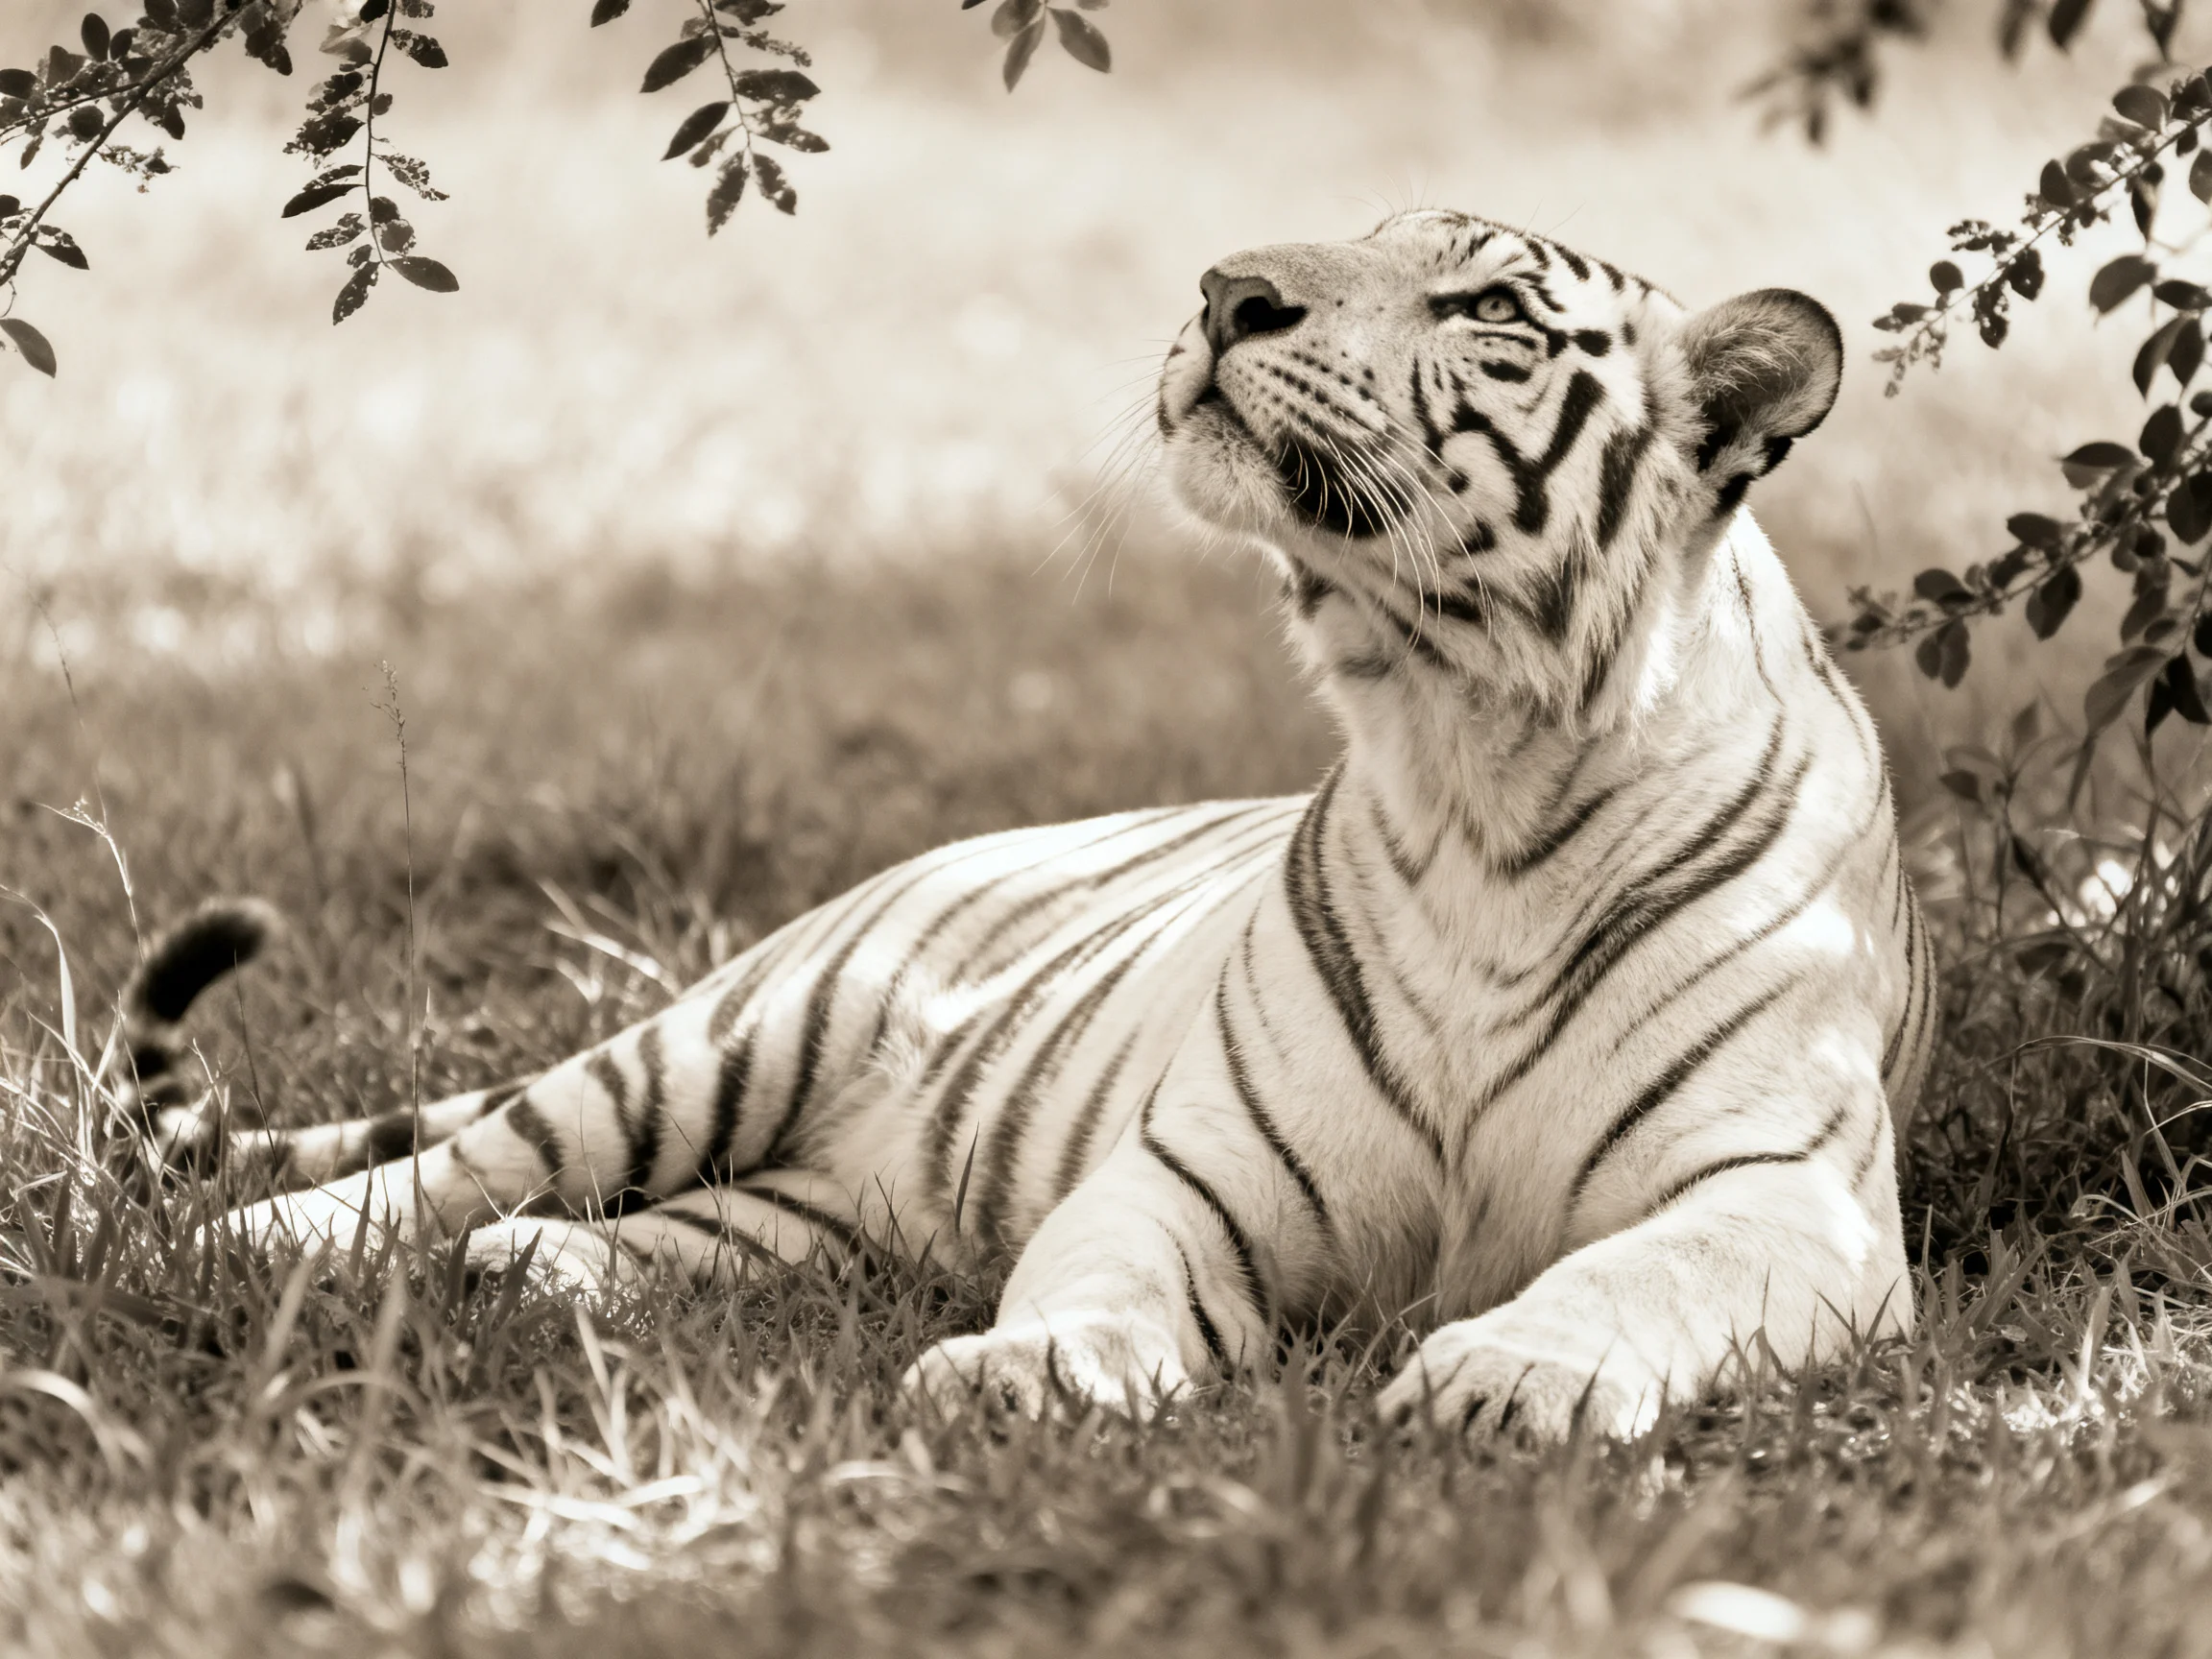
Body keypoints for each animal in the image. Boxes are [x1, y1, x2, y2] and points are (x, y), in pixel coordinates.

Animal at [128, 208, 1933, 1443]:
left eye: (1486, 306)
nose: (1224, 292)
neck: (1464, 741)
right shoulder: (1197, 1168)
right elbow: (1111, 1272)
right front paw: (1033, 1368)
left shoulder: (1788, 1197)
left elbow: (1635, 1270)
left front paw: (1513, 1371)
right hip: (709, 1050)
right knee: (441, 1163)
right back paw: (243, 1249)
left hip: (828, 1207)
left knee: (671, 1225)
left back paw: (533, 1271)